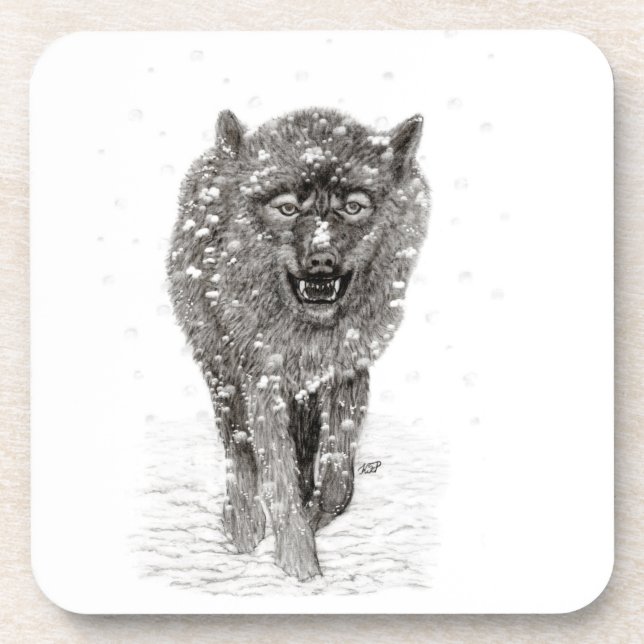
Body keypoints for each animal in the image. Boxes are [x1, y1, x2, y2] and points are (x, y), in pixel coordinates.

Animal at [167, 107, 430, 580]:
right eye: (287, 208)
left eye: (353, 206)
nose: (321, 261)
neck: (309, 335)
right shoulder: (262, 382)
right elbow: (277, 476)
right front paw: (298, 565)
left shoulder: (347, 371)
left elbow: (338, 480)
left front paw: (312, 518)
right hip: (222, 373)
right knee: (238, 451)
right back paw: (242, 524)